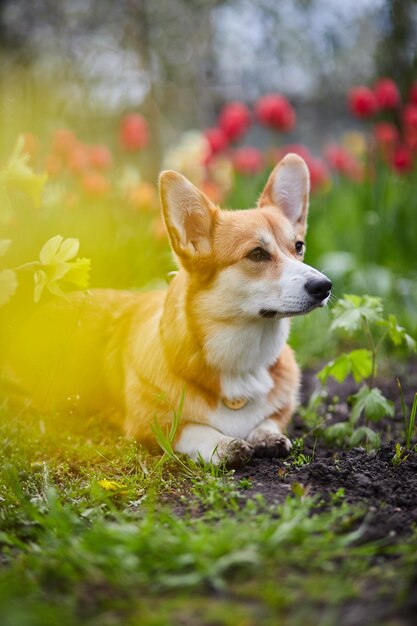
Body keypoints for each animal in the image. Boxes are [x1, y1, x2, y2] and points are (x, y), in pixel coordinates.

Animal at [0, 152, 332, 464]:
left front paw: (266, 436)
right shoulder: (149, 423)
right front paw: (224, 444)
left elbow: (269, 420)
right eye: (257, 254)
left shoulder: (280, 410)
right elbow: (193, 428)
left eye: (298, 247)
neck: (241, 365)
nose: (324, 286)